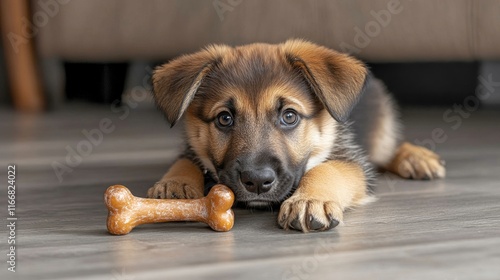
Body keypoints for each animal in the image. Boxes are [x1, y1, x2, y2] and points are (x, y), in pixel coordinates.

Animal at [146, 38, 446, 232]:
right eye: (224, 119)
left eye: (289, 116)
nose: (256, 181)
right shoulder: (193, 147)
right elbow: (185, 160)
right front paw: (175, 185)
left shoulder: (351, 160)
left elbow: (326, 169)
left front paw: (311, 200)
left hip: (381, 134)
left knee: (389, 148)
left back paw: (416, 158)